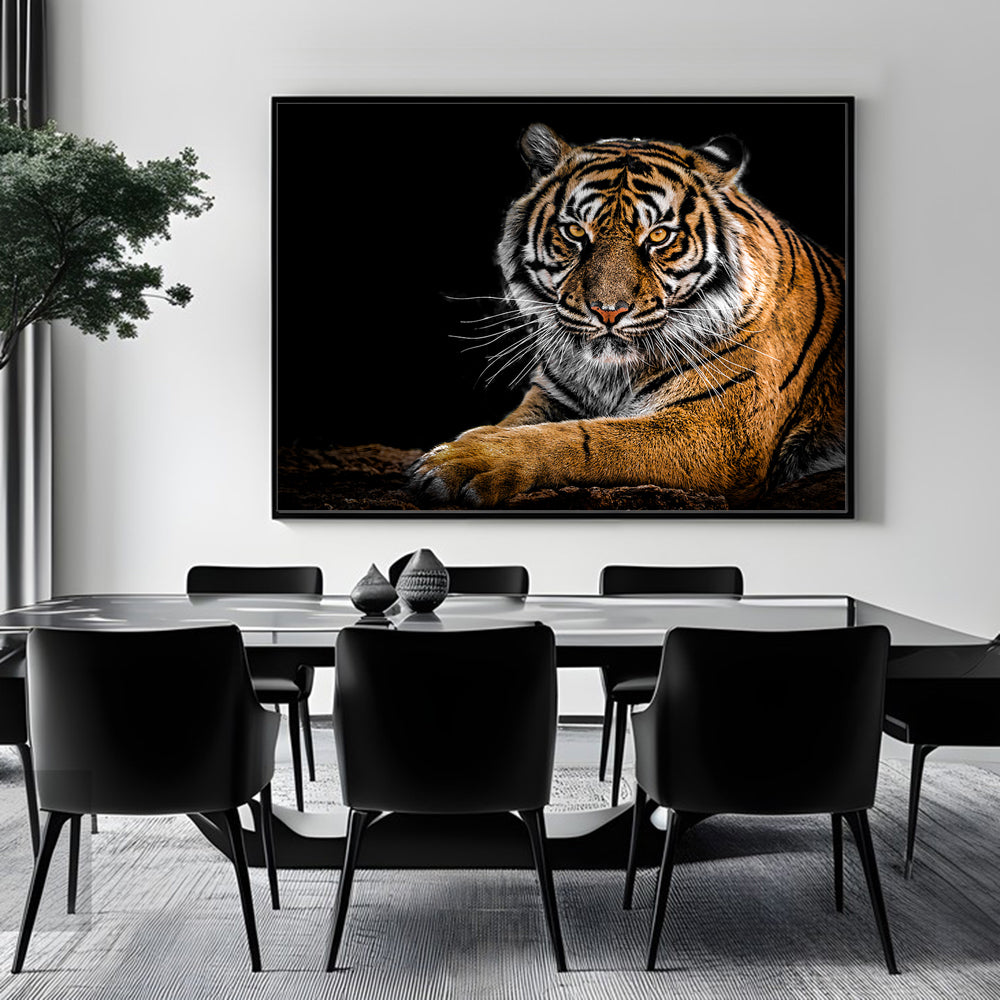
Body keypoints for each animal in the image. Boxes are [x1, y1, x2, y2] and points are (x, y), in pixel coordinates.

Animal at [408, 123, 846, 508]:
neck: (610, 375)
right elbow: (516, 425)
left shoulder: (719, 431)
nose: (608, 311)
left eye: (658, 236)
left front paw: (461, 461)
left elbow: (580, 440)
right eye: (575, 232)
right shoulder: (551, 396)